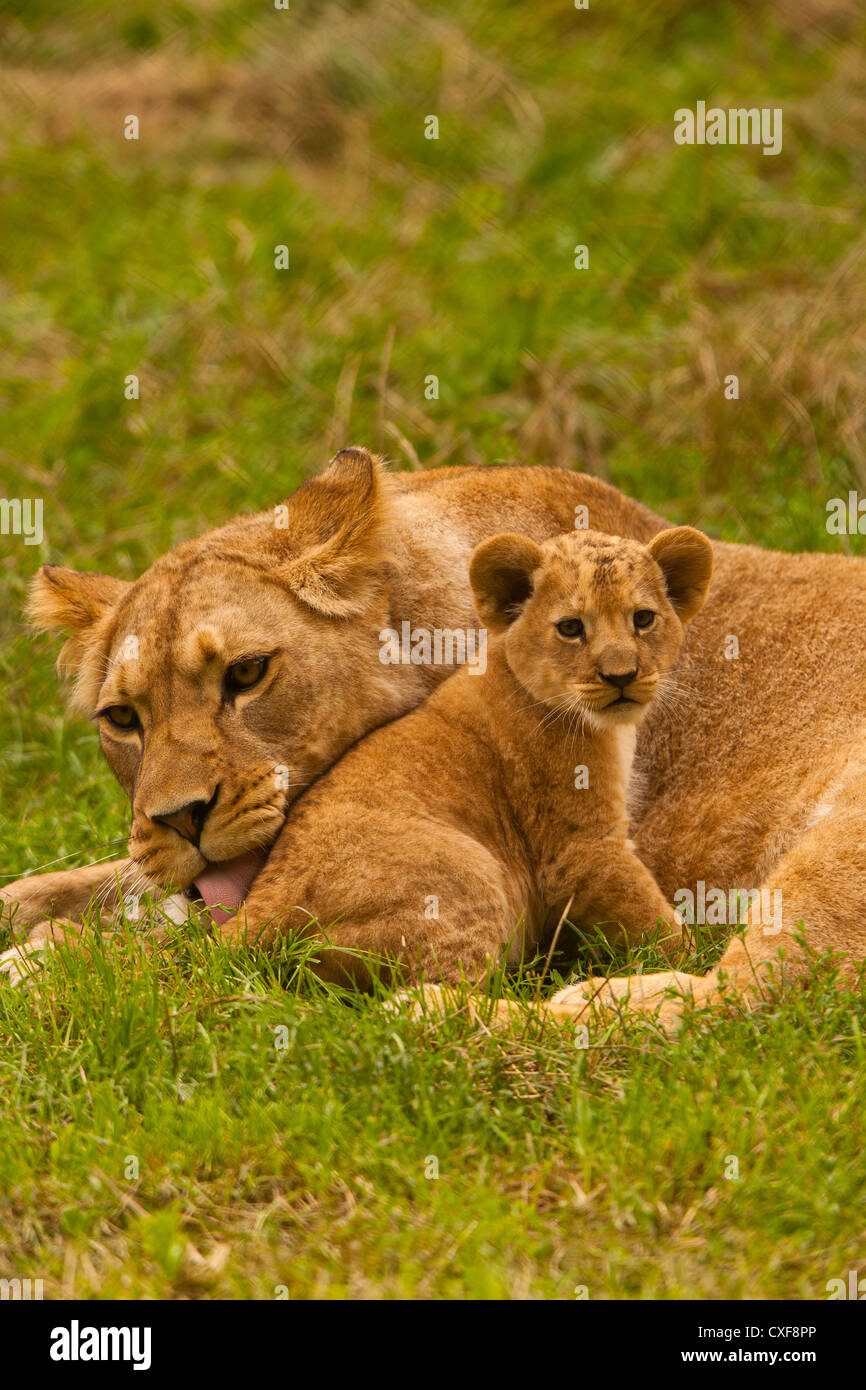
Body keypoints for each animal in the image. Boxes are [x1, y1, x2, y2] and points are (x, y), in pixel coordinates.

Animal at [3, 447, 866, 1029]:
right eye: (122, 719)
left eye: (246, 674)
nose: (178, 819)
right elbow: (78, 885)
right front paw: (38, 931)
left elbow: (151, 959)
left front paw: (46, 968)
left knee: (737, 1003)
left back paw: (451, 1011)